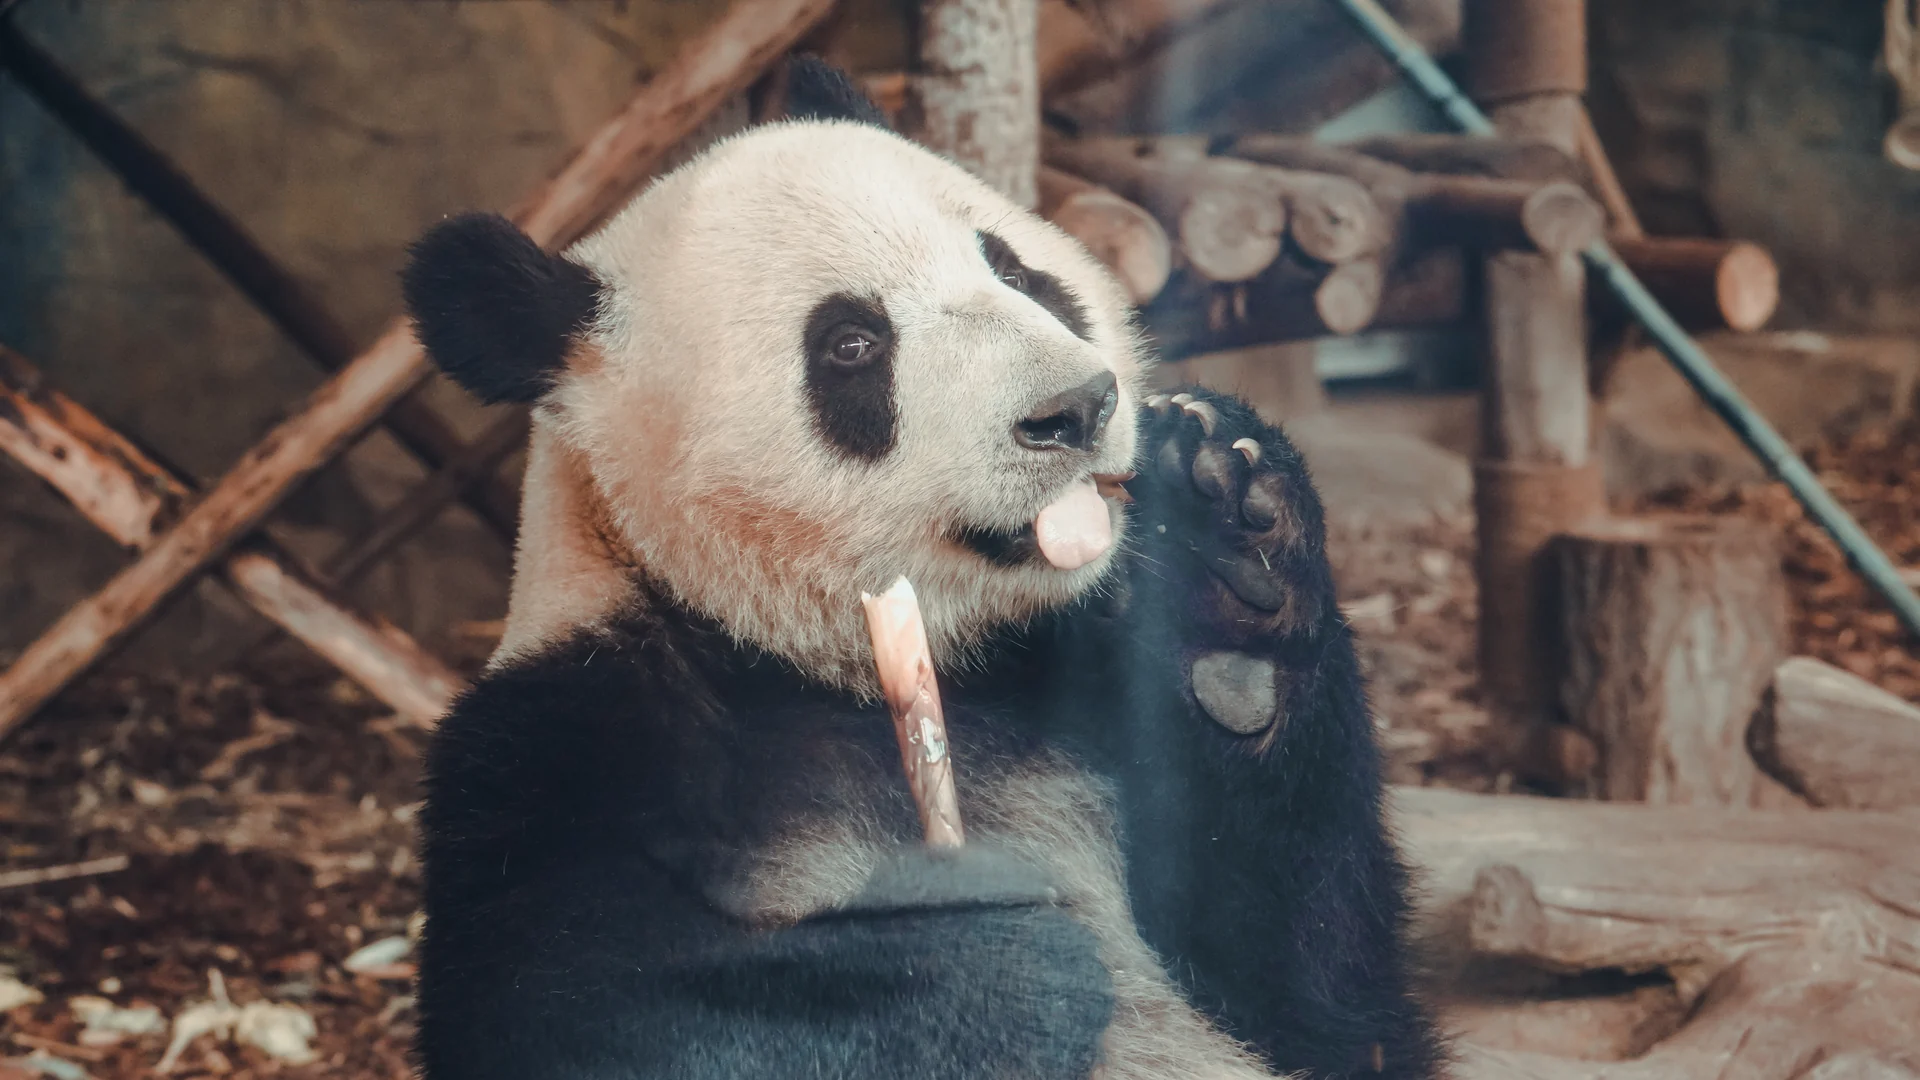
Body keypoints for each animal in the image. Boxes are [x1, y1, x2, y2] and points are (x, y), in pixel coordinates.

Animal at [400, 57, 1442, 1080]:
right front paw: (997, 967)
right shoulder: (569, 753)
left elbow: (1330, 1006)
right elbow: (593, 1013)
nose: (1077, 406)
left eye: (1015, 269)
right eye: (852, 343)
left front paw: (1227, 565)